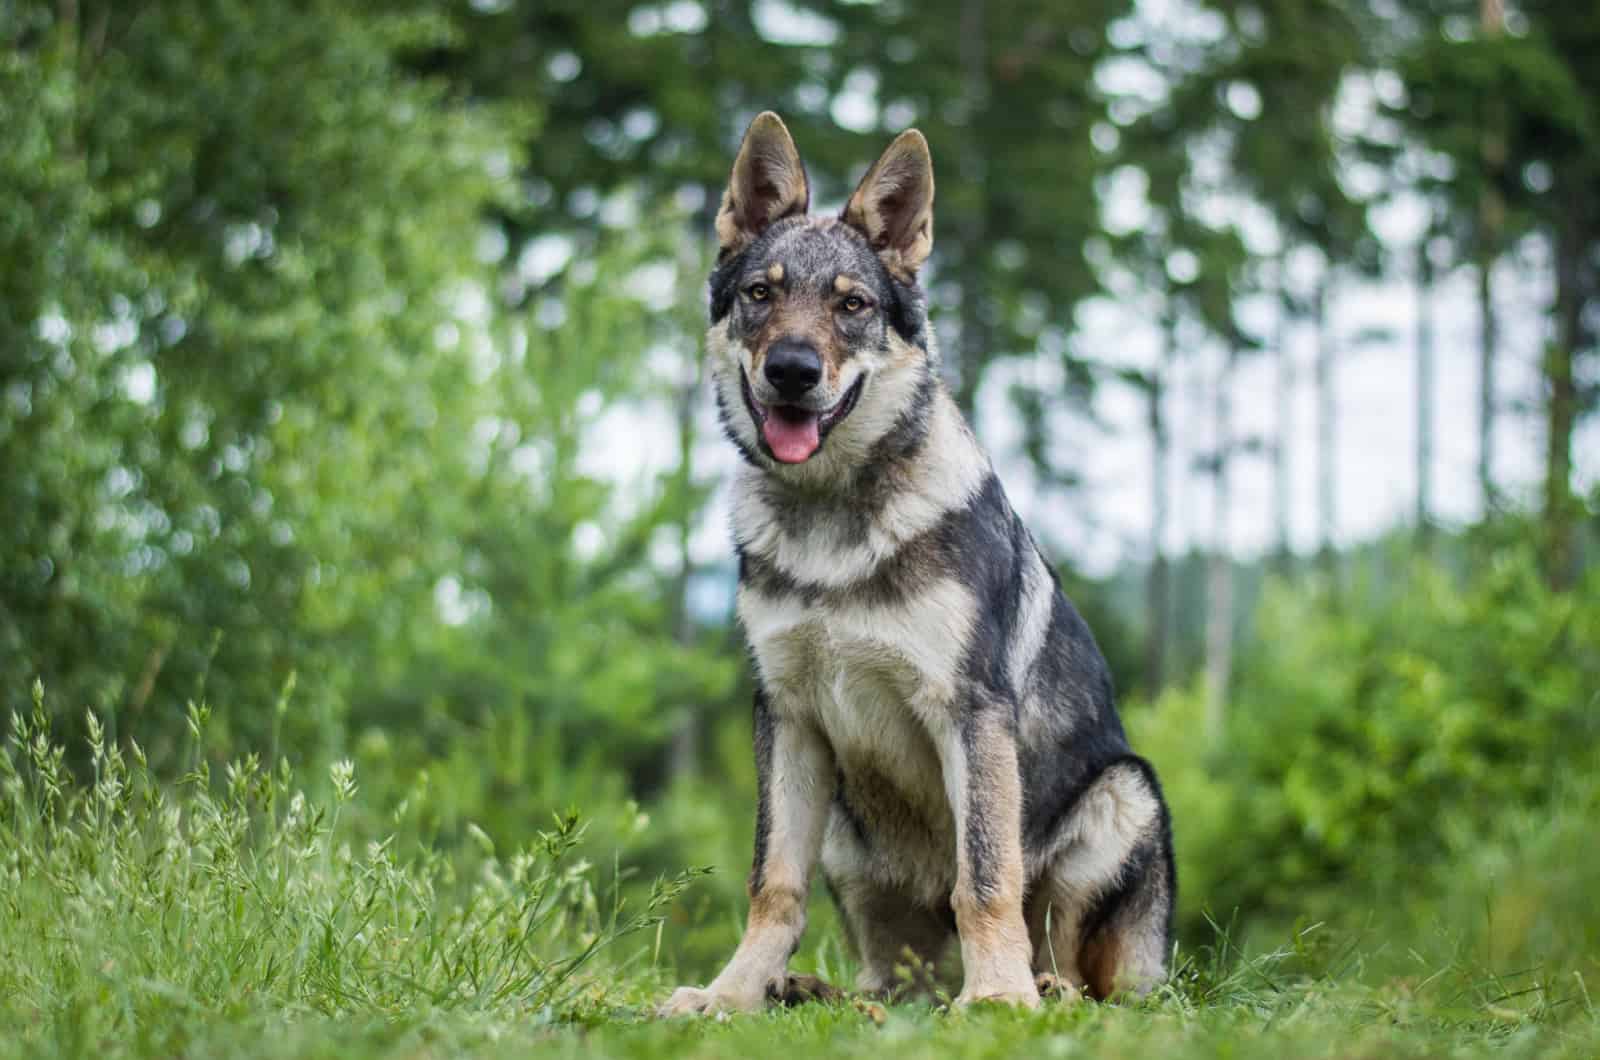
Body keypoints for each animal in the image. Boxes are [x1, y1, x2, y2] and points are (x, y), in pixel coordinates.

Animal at [662, 112, 1177, 1018]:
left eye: (852, 306)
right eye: (761, 294)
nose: (791, 371)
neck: (830, 522)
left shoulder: (969, 713)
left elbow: (986, 876)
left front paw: (1000, 996)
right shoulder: (787, 718)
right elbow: (772, 885)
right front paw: (731, 994)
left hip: (1125, 794)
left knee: (1090, 979)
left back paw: (1041, 989)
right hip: (846, 831)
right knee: (893, 985)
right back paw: (814, 992)